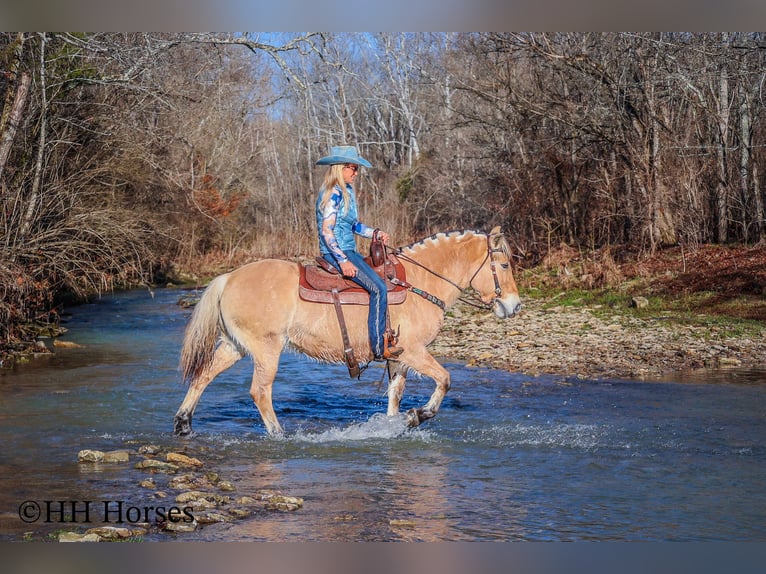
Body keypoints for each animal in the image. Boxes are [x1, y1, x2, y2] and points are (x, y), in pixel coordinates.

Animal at [174, 228, 520, 436]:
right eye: (503, 265)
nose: (514, 306)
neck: (419, 282)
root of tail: (228, 278)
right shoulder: (414, 351)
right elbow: (445, 380)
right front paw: (418, 416)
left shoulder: (399, 357)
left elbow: (395, 393)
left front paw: (393, 425)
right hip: (265, 349)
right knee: (260, 391)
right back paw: (278, 434)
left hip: (234, 345)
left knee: (203, 375)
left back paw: (183, 424)